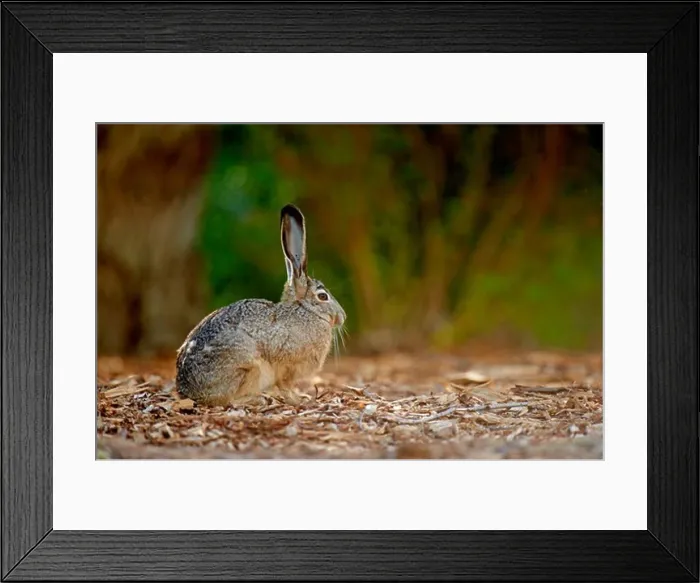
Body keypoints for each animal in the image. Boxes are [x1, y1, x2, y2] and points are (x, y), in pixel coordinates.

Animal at [175, 204, 346, 406]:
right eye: (322, 296)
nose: (342, 317)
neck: (305, 311)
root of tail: (188, 391)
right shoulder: (286, 366)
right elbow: (285, 385)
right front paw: (298, 400)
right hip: (250, 368)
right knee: (231, 400)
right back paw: (261, 399)